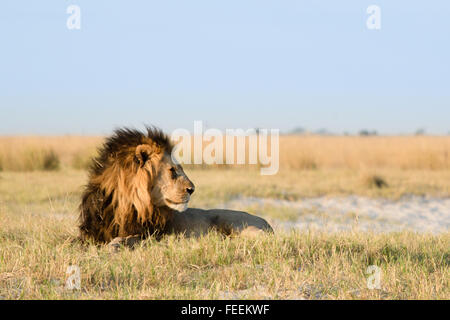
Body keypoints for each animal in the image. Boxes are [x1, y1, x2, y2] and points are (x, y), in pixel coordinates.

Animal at [79, 126, 272, 246]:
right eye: (172, 170)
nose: (192, 189)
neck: (125, 203)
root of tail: (267, 223)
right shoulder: (90, 233)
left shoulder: (153, 235)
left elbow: (131, 239)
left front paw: (115, 244)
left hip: (237, 224)